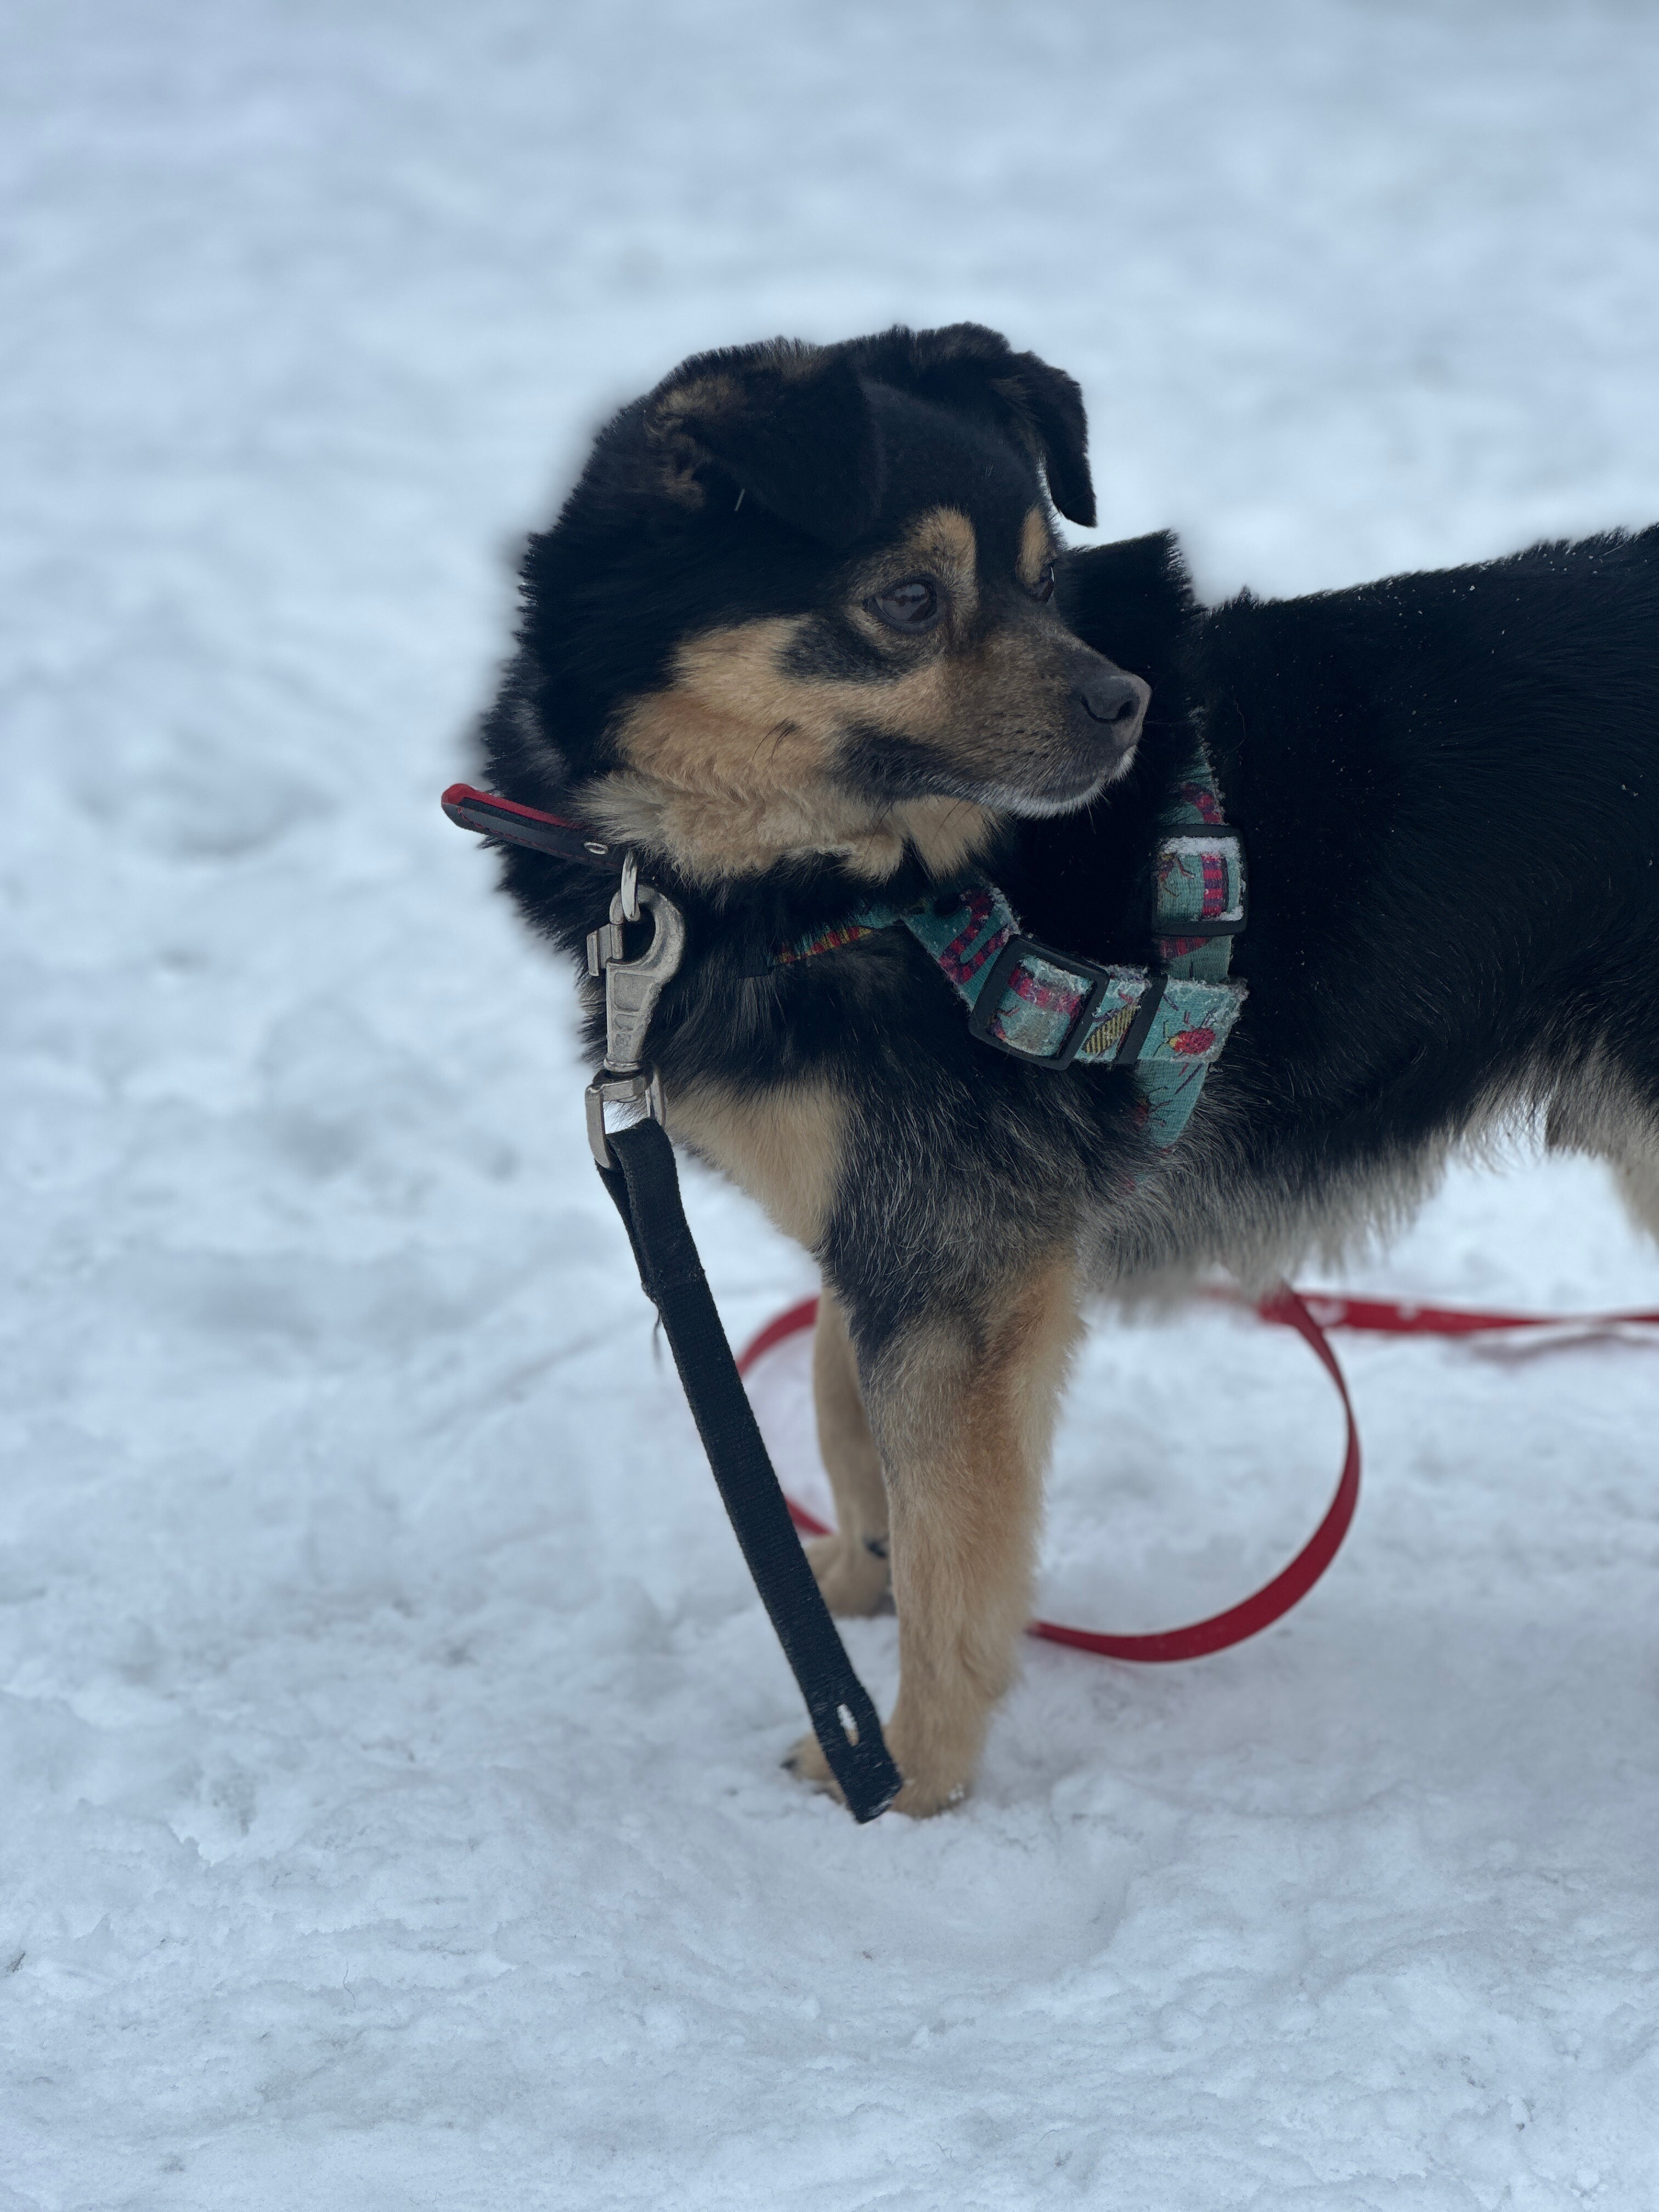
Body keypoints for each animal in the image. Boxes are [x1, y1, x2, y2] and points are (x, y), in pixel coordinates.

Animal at [471, 323, 1659, 1815]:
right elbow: (846, 1422)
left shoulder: (957, 1267)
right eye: (910, 599)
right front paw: (840, 1590)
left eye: (1045, 580)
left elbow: (950, 1549)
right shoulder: (895, 1234)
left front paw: (899, 1776)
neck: (826, 886)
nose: (1127, 705)